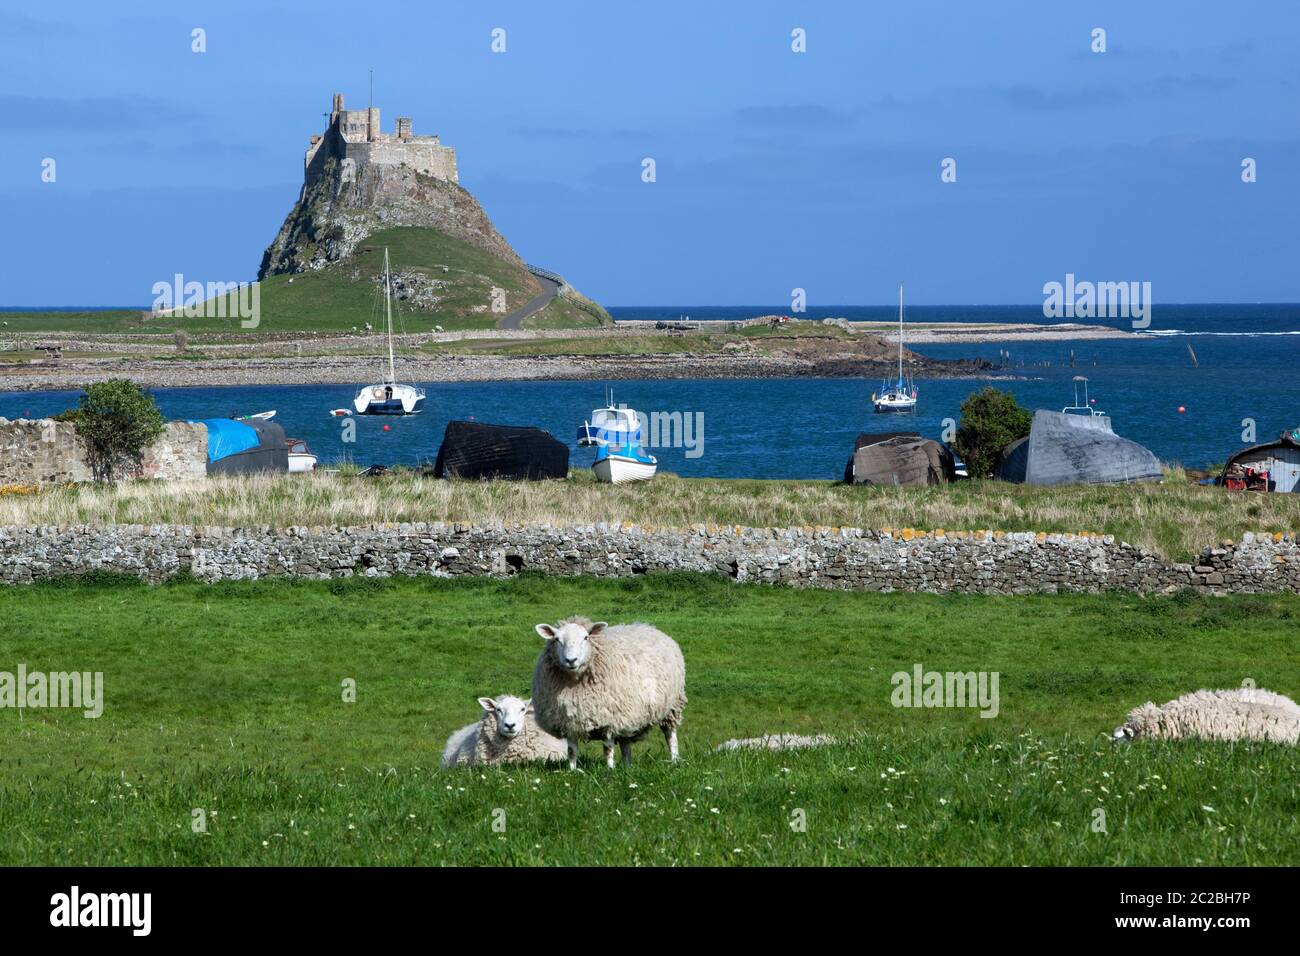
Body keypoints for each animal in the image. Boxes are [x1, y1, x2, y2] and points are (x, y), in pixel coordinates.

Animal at [530, 621, 691, 770]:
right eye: (556, 639)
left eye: (586, 637)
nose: (571, 660)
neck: (573, 682)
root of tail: (648, 626)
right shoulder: (569, 721)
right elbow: (571, 750)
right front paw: (572, 771)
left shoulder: (609, 719)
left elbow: (607, 748)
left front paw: (609, 770)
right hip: (628, 715)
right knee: (625, 742)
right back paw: (627, 766)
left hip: (672, 705)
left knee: (670, 734)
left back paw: (674, 760)